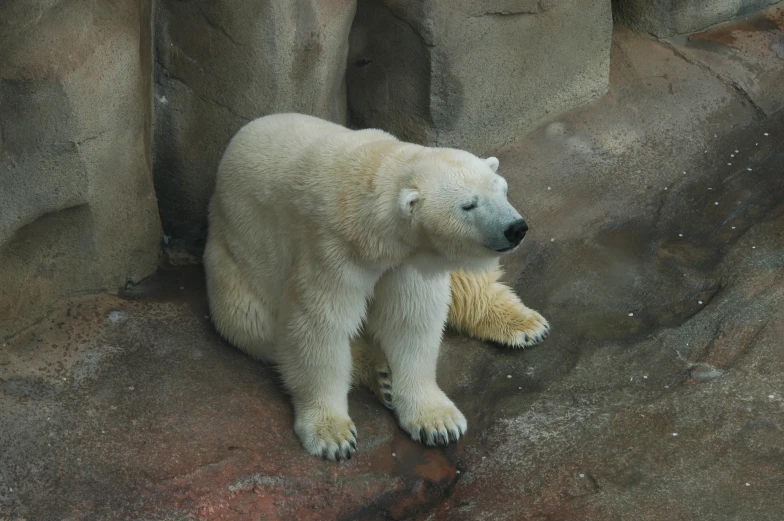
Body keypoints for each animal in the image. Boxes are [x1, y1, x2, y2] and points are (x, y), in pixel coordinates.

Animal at [205, 112, 548, 460]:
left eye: (502, 190)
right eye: (468, 205)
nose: (515, 228)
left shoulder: (407, 261)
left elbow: (411, 319)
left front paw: (438, 422)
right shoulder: (329, 251)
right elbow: (318, 327)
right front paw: (333, 435)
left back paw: (524, 324)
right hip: (233, 270)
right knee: (252, 324)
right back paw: (379, 373)